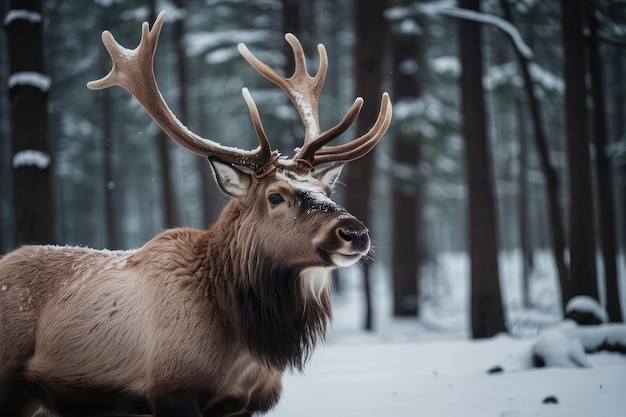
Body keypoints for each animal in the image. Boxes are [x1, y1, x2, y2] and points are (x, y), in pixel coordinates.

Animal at [0, 9, 390, 416]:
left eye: (327, 191)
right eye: (276, 197)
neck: (243, 344)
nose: (355, 232)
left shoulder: (245, 403)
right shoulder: (173, 388)